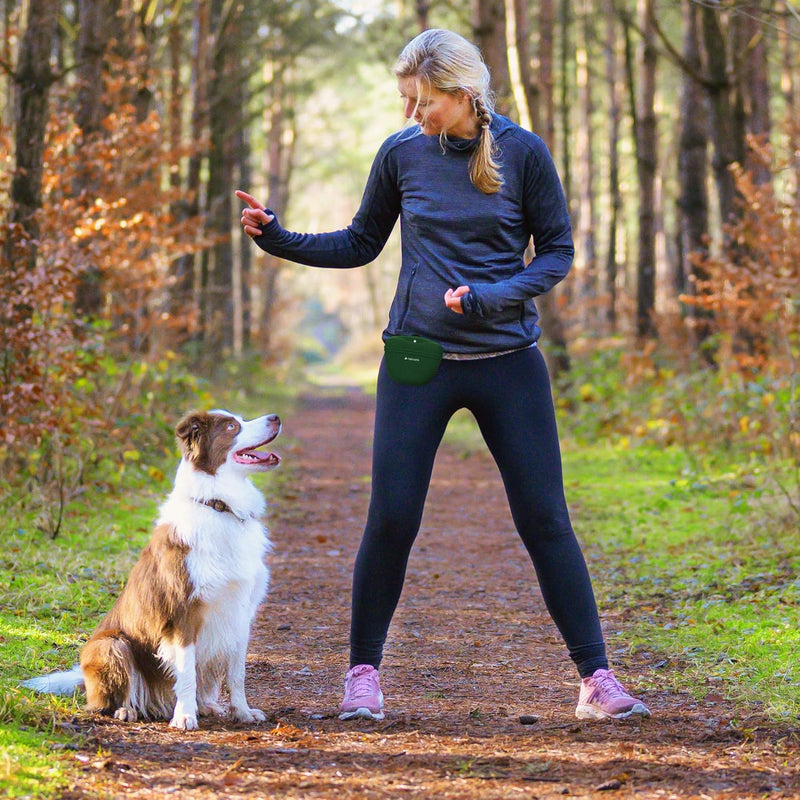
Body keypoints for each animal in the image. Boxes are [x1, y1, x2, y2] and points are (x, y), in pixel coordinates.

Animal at [21, 410, 282, 728]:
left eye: (240, 419)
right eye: (232, 426)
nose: (275, 417)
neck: (218, 505)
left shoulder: (241, 613)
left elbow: (237, 674)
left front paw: (243, 712)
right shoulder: (182, 613)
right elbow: (186, 673)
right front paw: (184, 716)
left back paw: (206, 706)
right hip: (110, 645)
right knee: (102, 703)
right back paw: (127, 710)